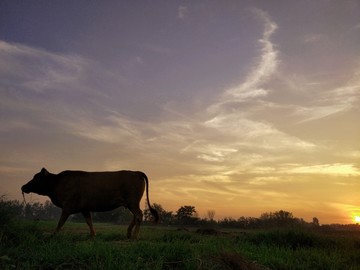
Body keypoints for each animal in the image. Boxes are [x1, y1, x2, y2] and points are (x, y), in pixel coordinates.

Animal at [21, 169, 159, 238]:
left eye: (36, 177)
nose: (23, 187)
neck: (57, 183)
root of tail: (135, 172)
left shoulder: (67, 206)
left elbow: (61, 222)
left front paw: (53, 234)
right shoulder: (84, 208)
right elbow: (89, 221)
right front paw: (93, 234)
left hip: (132, 201)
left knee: (139, 215)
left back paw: (134, 236)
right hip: (131, 203)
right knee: (135, 216)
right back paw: (129, 233)